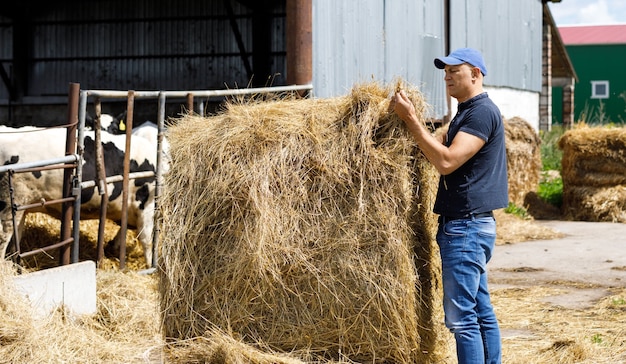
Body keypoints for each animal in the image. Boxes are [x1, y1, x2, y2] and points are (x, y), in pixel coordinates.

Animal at [0, 126, 162, 268]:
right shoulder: (146, 204)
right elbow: (146, 238)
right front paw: (151, 267)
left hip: (20, 206)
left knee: (15, 235)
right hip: (8, 202)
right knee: (4, 236)